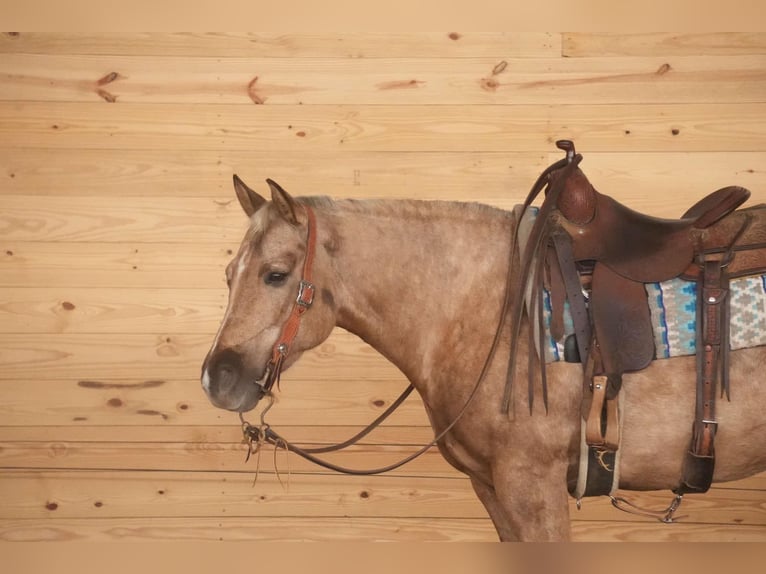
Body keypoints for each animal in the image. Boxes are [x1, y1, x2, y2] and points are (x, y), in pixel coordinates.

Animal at [202, 159, 766, 544]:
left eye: (276, 274)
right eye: (228, 274)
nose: (217, 378)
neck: (482, 305)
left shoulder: (532, 487)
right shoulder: (492, 489)